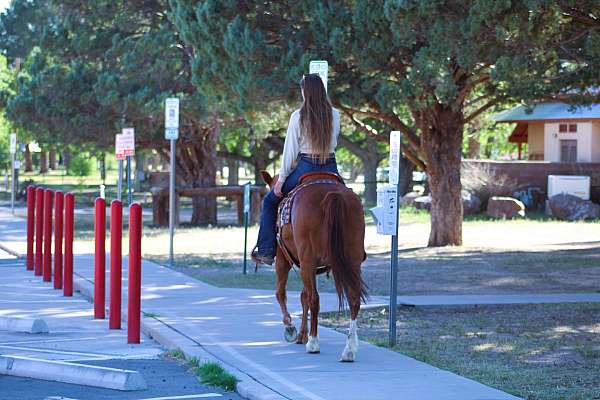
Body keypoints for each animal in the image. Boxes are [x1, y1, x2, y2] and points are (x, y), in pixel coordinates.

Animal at [262, 170, 368, 360]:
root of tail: (333, 194)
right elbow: (303, 296)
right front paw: (302, 334)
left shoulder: (283, 259)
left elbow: (281, 293)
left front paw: (291, 329)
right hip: (352, 261)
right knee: (353, 298)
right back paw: (349, 350)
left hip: (307, 261)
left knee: (315, 299)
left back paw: (313, 343)